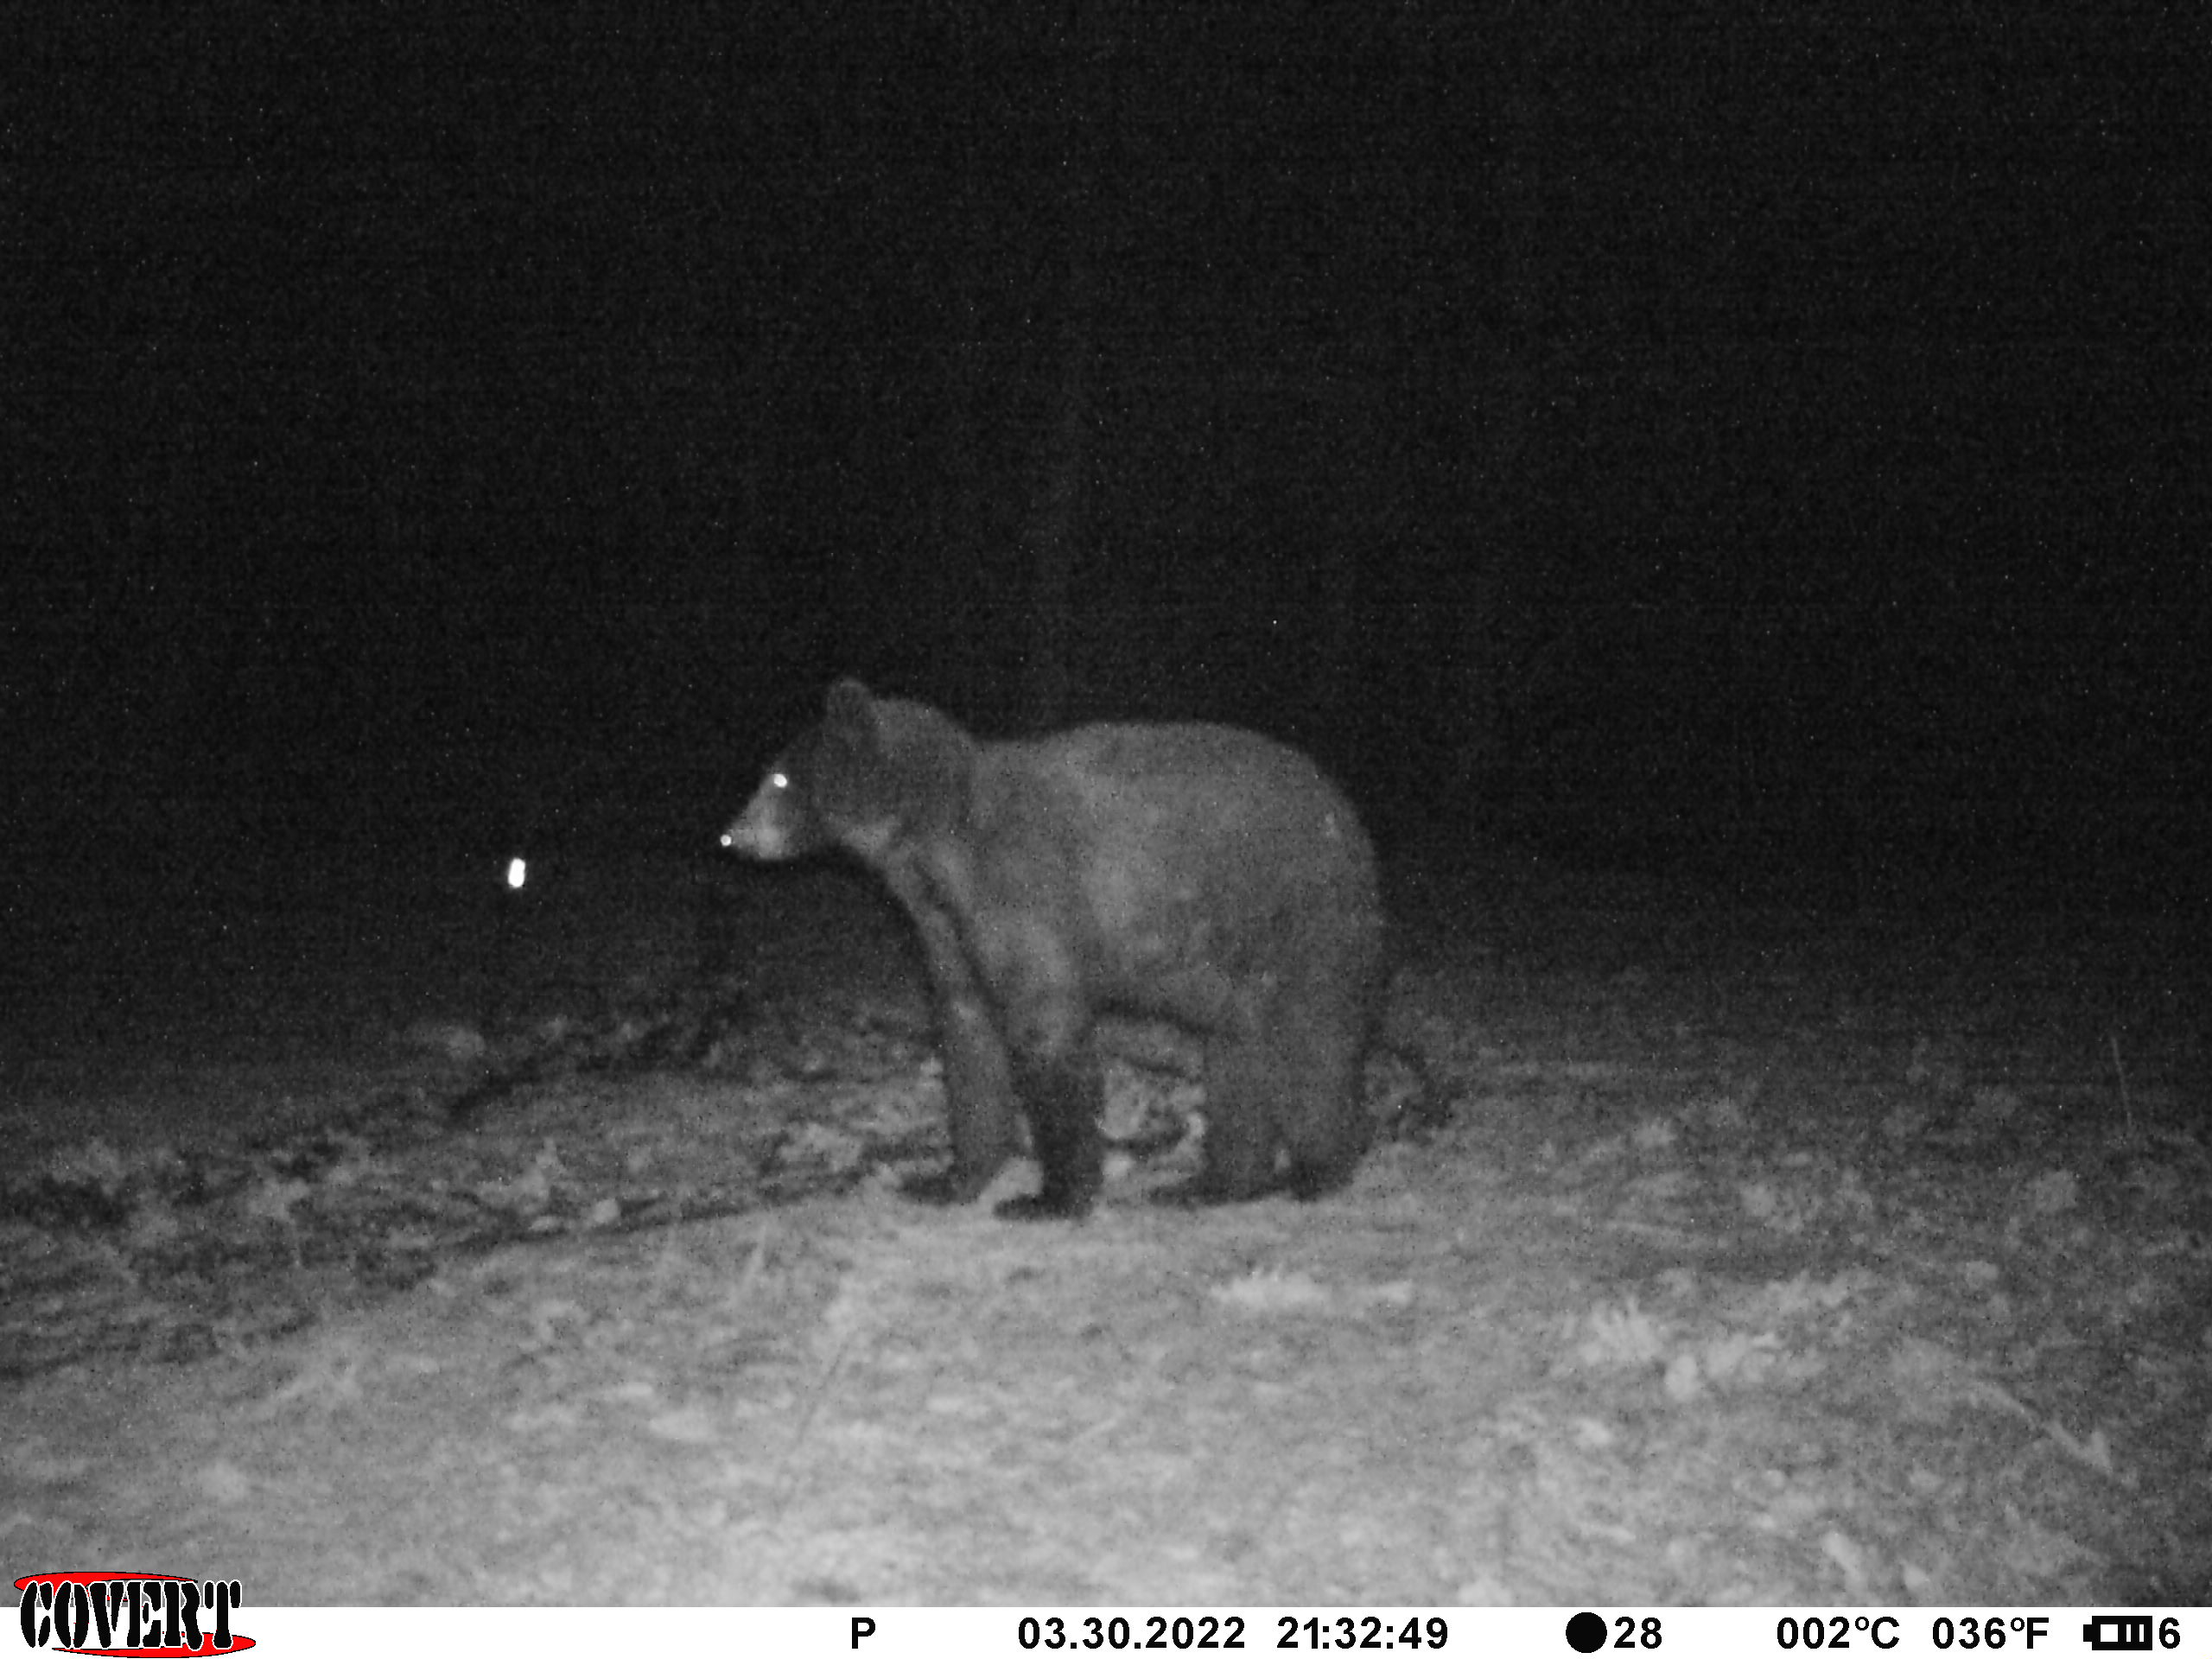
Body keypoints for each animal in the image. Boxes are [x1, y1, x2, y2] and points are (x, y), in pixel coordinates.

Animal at [725, 677, 1380, 1221]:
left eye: (779, 778)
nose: (732, 835)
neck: (933, 846)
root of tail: (1350, 824)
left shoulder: (1020, 891)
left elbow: (1045, 1032)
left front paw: (1049, 1196)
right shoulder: (946, 927)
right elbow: (967, 1036)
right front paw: (948, 1179)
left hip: (1296, 919)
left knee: (1310, 1043)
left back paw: (1319, 1170)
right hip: (1235, 961)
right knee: (1238, 1058)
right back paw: (1212, 1184)